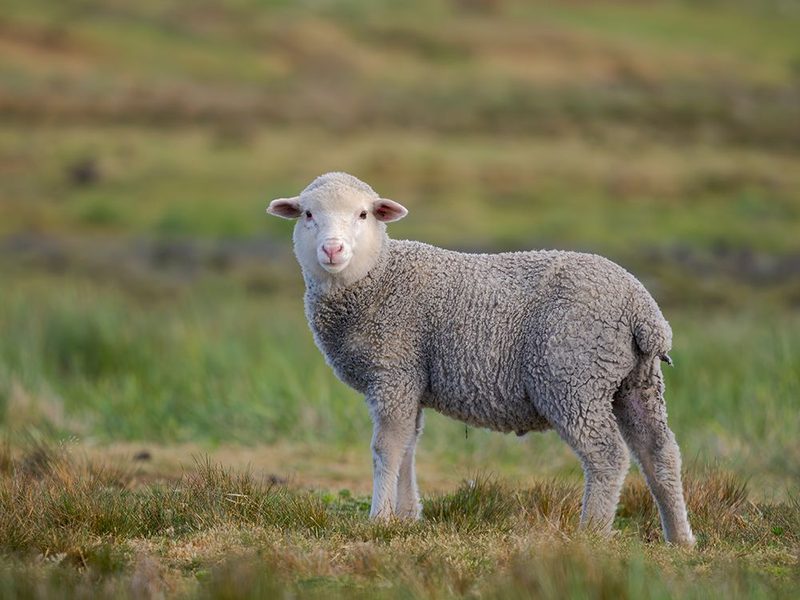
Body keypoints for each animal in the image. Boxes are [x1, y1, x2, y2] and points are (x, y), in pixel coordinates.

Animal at [267, 171, 695, 546]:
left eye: (363, 214)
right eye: (308, 215)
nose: (332, 249)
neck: (379, 276)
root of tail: (643, 311)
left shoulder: (393, 370)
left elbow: (386, 447)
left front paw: (380, 519)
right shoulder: (410, 379)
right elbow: (407, 446)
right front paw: (406, 516)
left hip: (572, 376)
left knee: (608, 456)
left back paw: (591, 533)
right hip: (635, 381)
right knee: (660, 453)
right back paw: (680, 537)